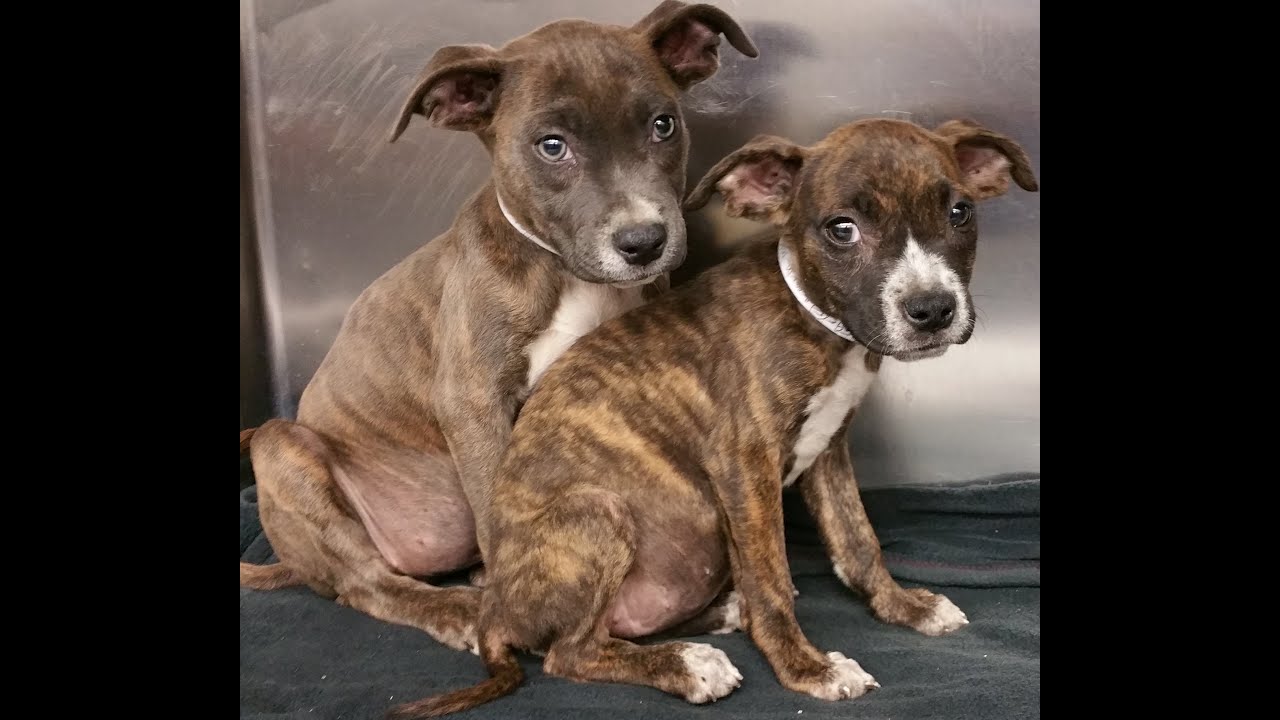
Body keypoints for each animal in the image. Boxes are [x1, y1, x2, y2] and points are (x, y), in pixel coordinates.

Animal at [239, 0, 752, 650]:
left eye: (663, 125)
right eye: (551, 146)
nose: (643, 242)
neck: (567, 275)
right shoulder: (473, 402)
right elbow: (495, 505)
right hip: (279, 447)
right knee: (366, 584)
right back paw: (453, 608)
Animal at [389, 114, 1039, 712]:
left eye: (959, 213)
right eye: (842, 230)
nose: (932, 309)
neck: (817, 323)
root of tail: (497, 610)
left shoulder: (829, 451)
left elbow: (859, 542)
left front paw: (905, 606)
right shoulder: (744, 467)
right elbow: (772, 577)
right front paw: (807, 667)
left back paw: (722, 614)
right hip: (598, 512)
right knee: (568, 653)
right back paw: (686, 664)